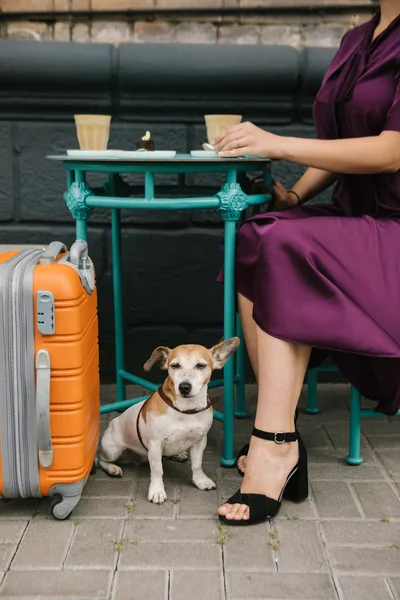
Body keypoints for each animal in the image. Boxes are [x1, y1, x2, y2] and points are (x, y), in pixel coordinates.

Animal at [98, 338, 239, 502]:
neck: (186, 410)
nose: (184, 387)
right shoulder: (155, 444)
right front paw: (157, 491)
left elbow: (197, 464)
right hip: (112, 450)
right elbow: (157, 470)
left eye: (201, 365)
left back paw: (178, 454)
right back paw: (112, 468)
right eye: (175, 365)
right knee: (100, 460)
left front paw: (200, 480)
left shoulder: (200, 441)